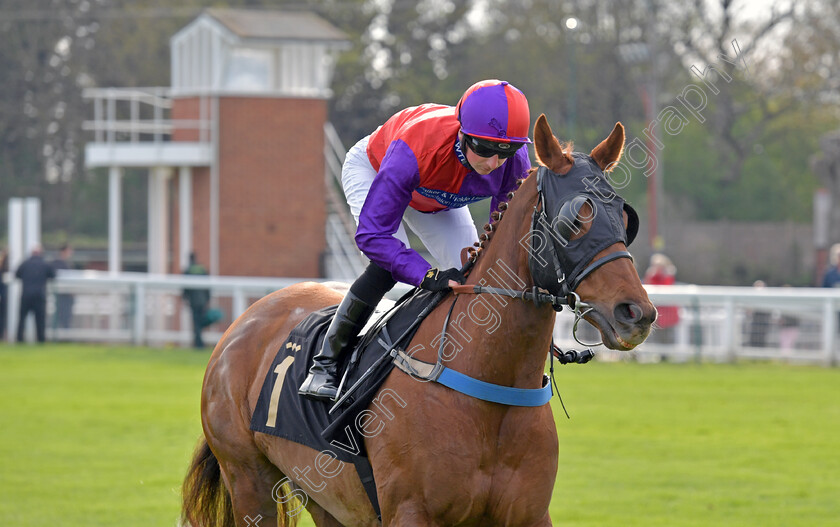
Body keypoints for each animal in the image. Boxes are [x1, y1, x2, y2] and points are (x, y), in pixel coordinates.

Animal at [182, 116, 656, 527]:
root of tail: (243, 322)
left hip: (326, 498)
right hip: (249, 478)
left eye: (625, 218)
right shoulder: (411, 512)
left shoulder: (530, 515)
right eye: (576, 219)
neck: (490, 389)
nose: (637, 313)